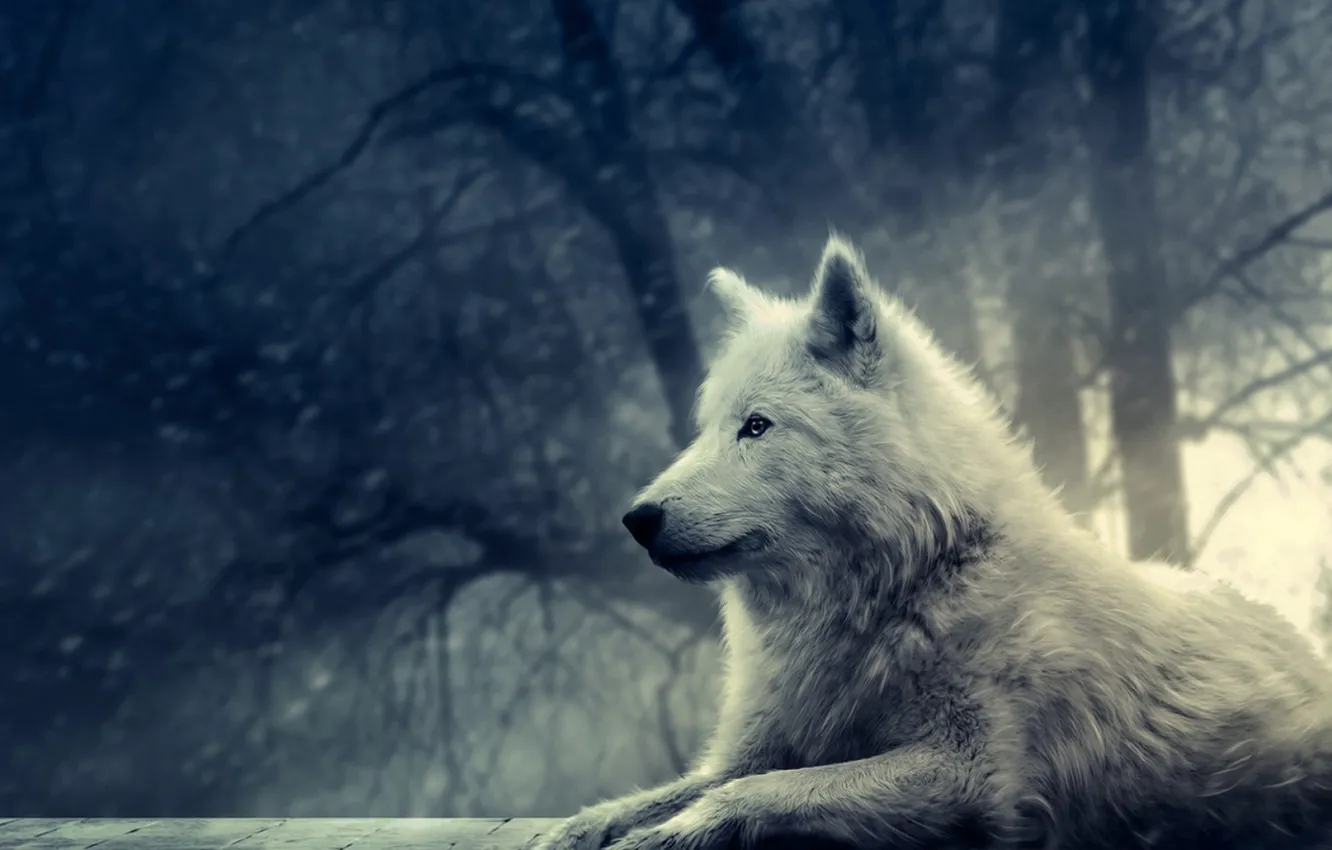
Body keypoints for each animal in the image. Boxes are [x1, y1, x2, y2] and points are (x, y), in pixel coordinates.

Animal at [532, 235, 1332, 850]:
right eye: (705, 429)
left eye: (756, 426)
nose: (637, 518)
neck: (908, 582)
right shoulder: (755, 746)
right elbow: (673, 791)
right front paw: (581, 828)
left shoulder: (971, 772)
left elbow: (759, 793)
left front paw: (669, 834)